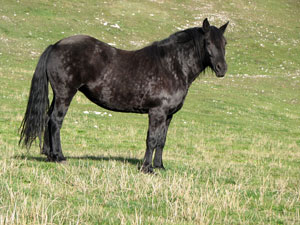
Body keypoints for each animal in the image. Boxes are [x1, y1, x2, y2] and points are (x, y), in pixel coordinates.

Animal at [19, 18, 229, 172]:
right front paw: (147, 168)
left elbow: (162, 141)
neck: (172, 66)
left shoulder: (168, 115)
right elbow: (152, 139)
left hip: (58, 95)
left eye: (225, 43)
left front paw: (159, 166)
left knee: (48, 118)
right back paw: (59, 157)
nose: (222, 69)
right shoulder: (157, 112)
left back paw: (49, 155)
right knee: (56, 120)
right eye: (208, 42)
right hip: (65, 94)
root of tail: (55, 45)